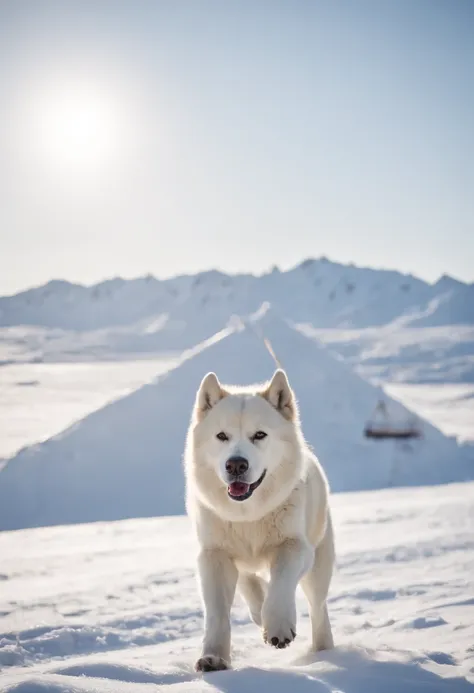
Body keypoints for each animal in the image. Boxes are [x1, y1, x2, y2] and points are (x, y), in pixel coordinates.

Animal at [185, 374, 334, 672]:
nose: (236, 465)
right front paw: (213, 657)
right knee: (250, 582)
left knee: (318, 607)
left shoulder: (295, 546)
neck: (248, 516)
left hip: (319, 563)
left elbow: (281, 584)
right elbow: (217, 613)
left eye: (260, 435)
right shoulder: (213, 556)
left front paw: (278, 627)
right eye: (222, 436)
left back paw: (324, 653)